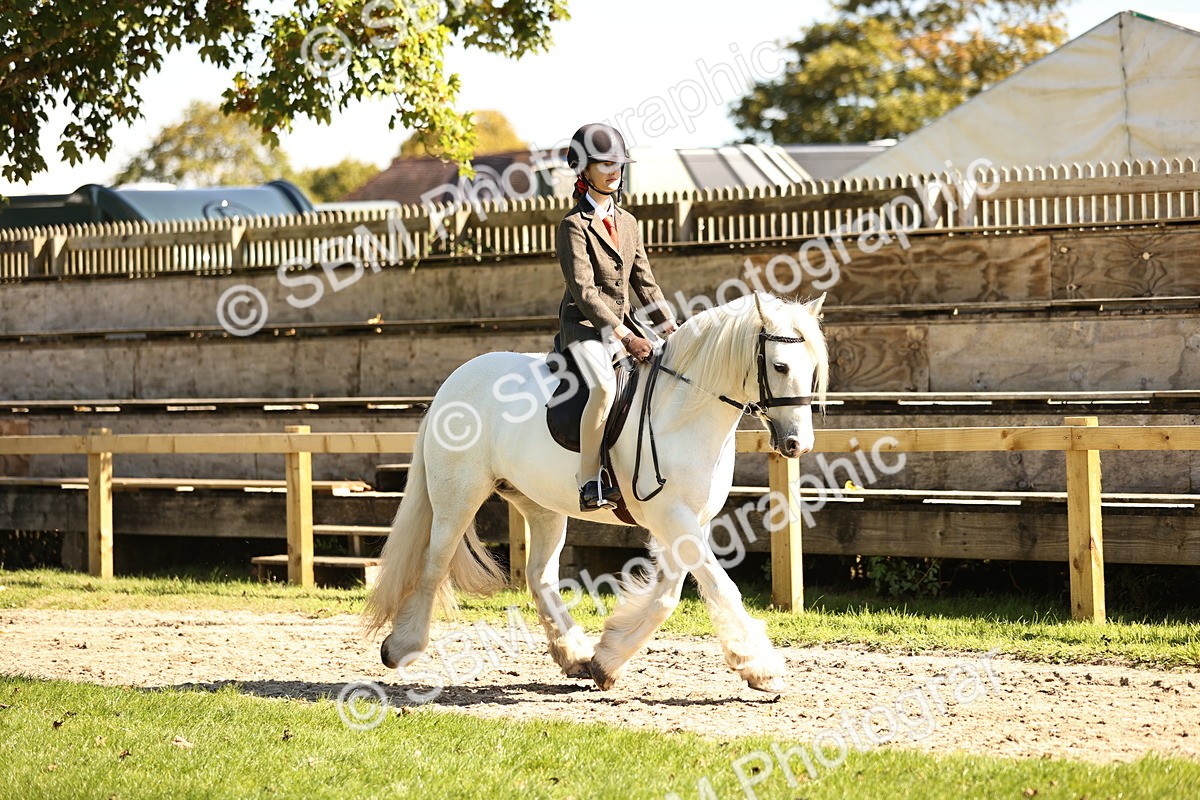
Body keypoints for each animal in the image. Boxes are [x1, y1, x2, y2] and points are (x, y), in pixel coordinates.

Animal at [364, 291, 828, 692]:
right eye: (781, 367)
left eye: (813, 368)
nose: (797, 444)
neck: (683, 411)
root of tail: (451, 384)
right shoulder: (672, 517)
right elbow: (718, 585)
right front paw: (762, 668)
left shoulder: (685, 521)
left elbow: (668, 596)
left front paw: (608, 661)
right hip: (457, 497)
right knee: (434, 563)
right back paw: (401, 647)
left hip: (541, 507)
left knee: (540, 576)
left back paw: (575, 655)